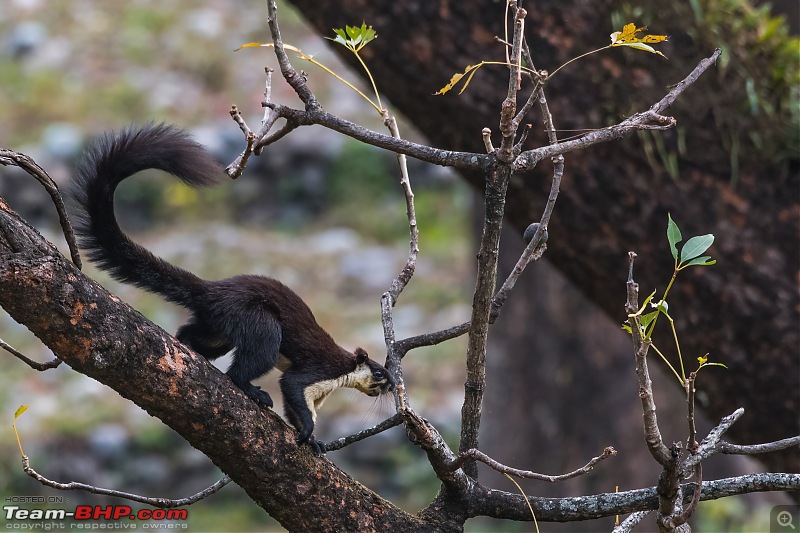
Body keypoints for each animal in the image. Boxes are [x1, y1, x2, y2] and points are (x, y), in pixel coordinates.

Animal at [74, 123, 396, 454]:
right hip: (259, 323)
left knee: (192, 334)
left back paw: (189, 350)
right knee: (241, 369)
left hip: (220, 332)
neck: (339, 375)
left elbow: (294, 409)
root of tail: (213, 291)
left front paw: (316, 442)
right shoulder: (318, 371)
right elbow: (292, 388)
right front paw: (308, 432)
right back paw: (256, 393)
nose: (393, 386)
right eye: (379, 372)